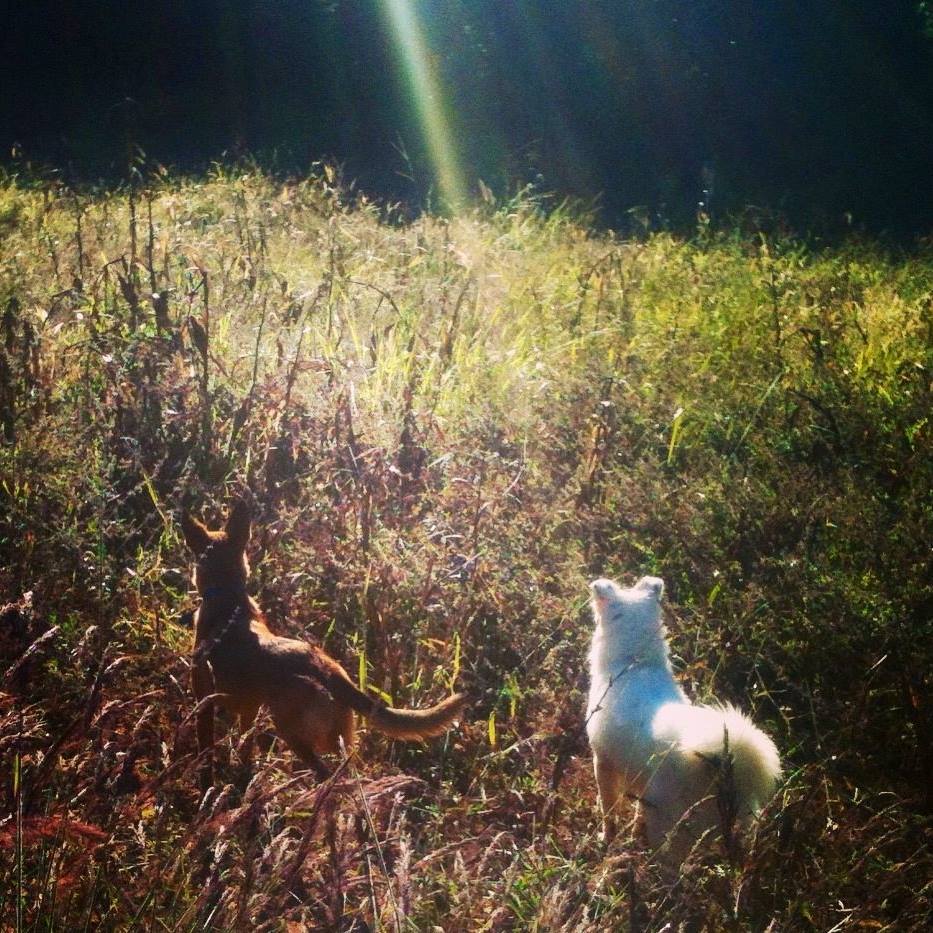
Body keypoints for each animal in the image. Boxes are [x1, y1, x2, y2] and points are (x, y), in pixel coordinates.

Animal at [180, 500, 466, 788]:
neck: (227, 598)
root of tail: (330, 673)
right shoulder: (248, 709)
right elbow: (245, 748)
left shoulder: (204, 703)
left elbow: (206, 753)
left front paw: (208, 785)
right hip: (336, 741)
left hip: (293, 734)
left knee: (328, 776)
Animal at [586, 576, 781, 861]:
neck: (635, 663)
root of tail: (723, 763)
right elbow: (636, 814)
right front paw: (632, 833)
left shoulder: (602, 762)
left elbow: (608, 809)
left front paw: (606, 839)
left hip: (669, 826)